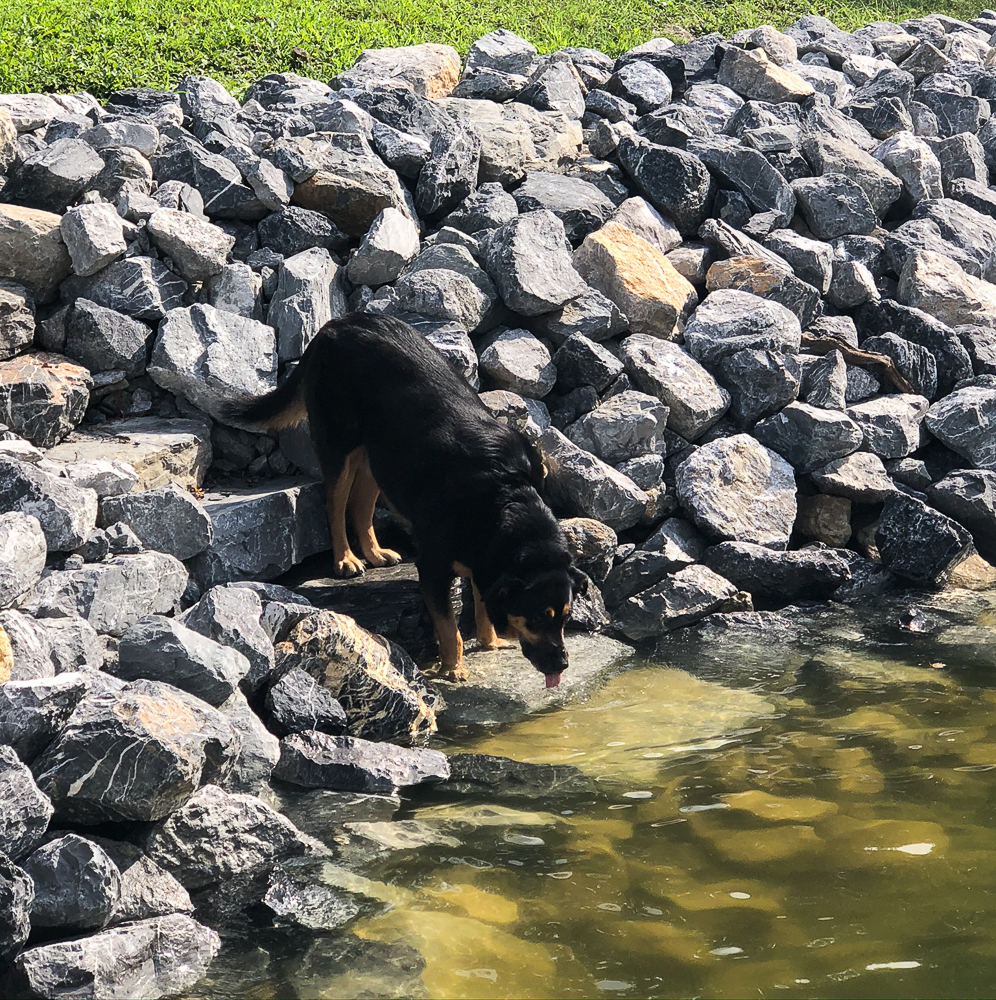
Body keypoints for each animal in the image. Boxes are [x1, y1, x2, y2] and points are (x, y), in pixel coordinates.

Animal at [228, 314, 584, 688]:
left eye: (565, 618)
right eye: (537, 618)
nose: (562, 664)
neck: (504, 496)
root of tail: (335, 324)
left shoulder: (484, 555)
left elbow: (482, 599)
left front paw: (490, 642)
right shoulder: (433, 567)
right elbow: (450, 627)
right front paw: (454, 668)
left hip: (381, 454)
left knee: (361, 504)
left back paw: (374, 552)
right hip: (338, 444)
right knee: (335, 504)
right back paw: (345, 559)